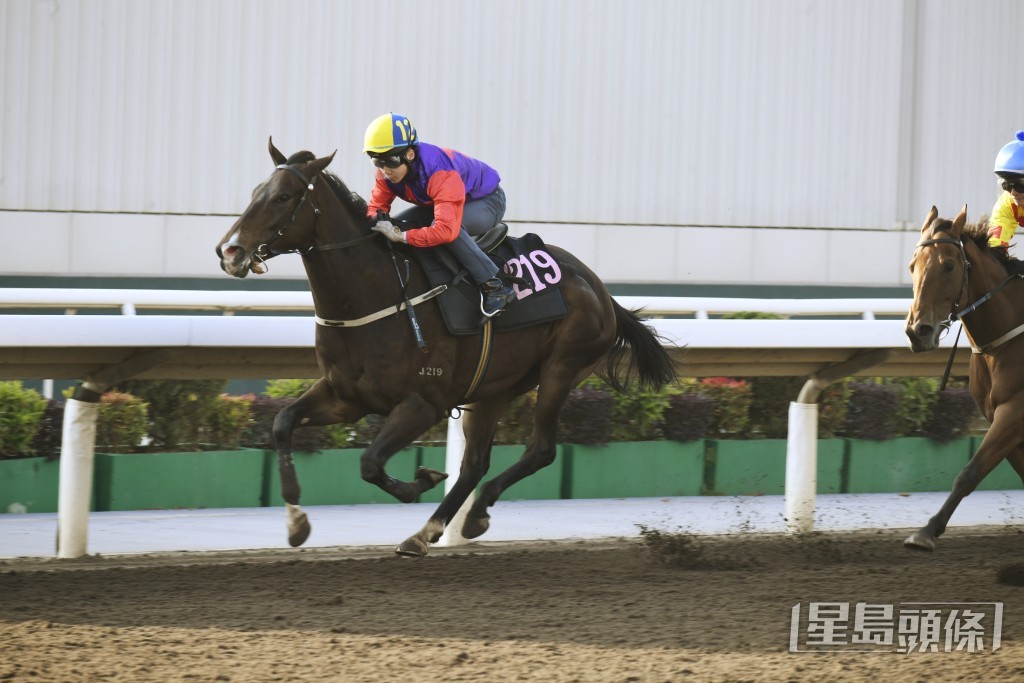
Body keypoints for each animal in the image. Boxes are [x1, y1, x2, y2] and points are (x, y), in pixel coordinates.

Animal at [216, 139, 678, 556]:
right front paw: (296, 522)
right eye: (255, 192)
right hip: (493, 389)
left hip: (561, 368)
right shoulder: (345, 396)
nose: (230, 251)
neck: (373, 295)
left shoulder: (423, 403)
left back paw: (471, 516)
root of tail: (599, 288)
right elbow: (283, 424)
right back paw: (430, 530)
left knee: (540, 449)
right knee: (474, 464)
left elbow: (370, 463)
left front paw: (423, 479)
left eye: (283, 197)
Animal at [904, 205, 1024, 550]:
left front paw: (926, 531)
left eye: (948, 265)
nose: (918, 332)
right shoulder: (997, 414)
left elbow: (970, 471)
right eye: (912, 266)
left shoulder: (1016, 411)